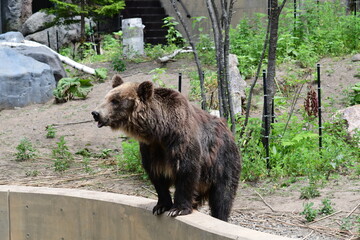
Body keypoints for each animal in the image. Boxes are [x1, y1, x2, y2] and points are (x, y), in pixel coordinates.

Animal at [91, 75, 240, 221]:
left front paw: (178, 209)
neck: (161, 131)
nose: (96, 113)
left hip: (223, 163)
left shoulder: (181, 142)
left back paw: (220, 216)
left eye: (115, 101)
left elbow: (186, 170)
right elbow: (157, 176)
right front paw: (161, 206)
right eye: (106, 97)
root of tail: (229, 131)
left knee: (222, 197)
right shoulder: (151, 148)